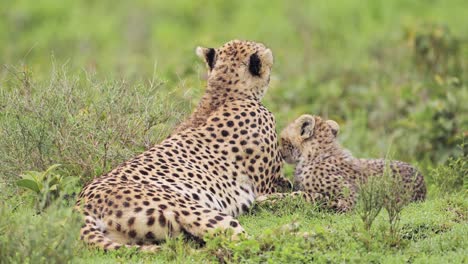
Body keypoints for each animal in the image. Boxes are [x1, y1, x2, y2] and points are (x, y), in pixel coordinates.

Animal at [75, 40, 288, 251]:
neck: (223, 93)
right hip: (194, 209)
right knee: (242, 242)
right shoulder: (267, 187)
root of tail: (82, 205)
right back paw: (288, 232)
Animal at [258, 114, 426, 211]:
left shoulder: (350, 197)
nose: (280, 153)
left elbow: (307, 196)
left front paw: (269, 198)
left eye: (282, 139)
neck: (316, 154)